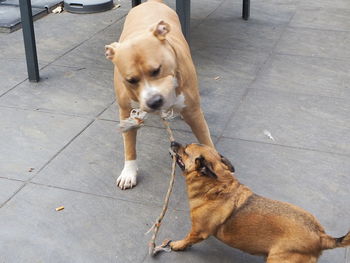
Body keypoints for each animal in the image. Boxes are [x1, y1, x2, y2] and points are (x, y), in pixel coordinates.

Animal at [104, 0, 213, 191]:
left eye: (156, 70)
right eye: (131, 80)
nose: (154, 101)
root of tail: (151, 2)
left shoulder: (194, 113)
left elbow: (206, 141)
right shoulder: (126, 113)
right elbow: (129, 146)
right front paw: (129, 172)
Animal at [167, 142, 350, 263]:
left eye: (185, 151)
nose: (173, 142)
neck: (218, 185)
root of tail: (321, 236)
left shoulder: (198, 232)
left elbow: (187, 239)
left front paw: (177, 245)